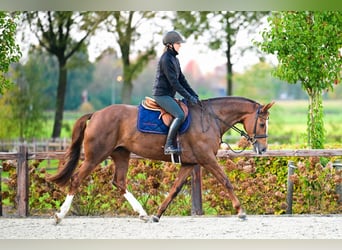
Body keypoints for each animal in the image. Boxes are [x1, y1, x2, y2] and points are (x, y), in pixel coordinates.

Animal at [47, 96, 276, 224]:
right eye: (262, 124)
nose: (263, 149)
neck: (210, 119)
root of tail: (95, 114)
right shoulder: (207, 159)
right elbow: (226, 181)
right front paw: (241, 212)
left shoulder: (189, 163)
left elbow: (174, 189)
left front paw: (158, 214)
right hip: (96, 156)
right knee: (77, 179)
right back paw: (60, 215)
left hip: (121, 154)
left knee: (119, 182)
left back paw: (143, 214)